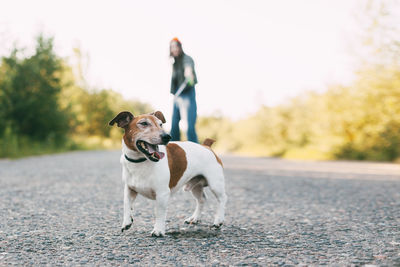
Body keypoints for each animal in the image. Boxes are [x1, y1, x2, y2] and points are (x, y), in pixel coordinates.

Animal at [109, 111, 227, 239]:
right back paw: (194, 219)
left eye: (161, 124)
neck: (140, 161)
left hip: (215, 183)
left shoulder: (162, 194)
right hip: (195, 185)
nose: (167, 136)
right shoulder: (129, 189)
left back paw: (218, 221)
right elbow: (126, 205)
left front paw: (158, 230)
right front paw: (126, 222)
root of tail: (206, 146)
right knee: (201, 200)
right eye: (144, 123)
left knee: (222, 199)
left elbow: (159, 213)